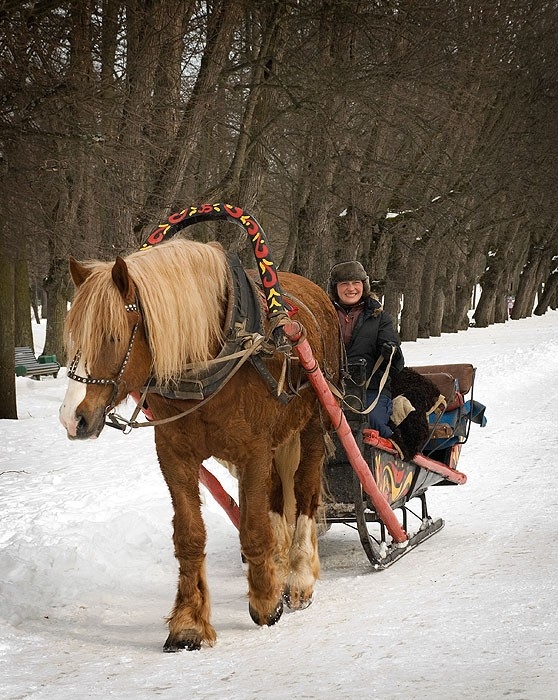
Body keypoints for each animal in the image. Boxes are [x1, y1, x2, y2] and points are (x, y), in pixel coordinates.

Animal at [59, 239, 344, 652]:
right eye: (74, 338)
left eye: (111, 336)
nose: (72, 418)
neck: (210, 358)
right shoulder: (174, 454)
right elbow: (190, 536)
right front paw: (188, 623)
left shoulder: (253, 450)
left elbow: (252, 528)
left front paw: (266, 602)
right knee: (279, 494)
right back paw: (278, 561)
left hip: (314, 422)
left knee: (304, 492)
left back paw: (297, 577)